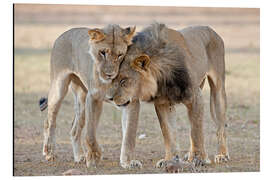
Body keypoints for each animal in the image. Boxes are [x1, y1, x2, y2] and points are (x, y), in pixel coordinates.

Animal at [40, 24, 137, 168]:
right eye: (103, 52)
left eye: (120, 55)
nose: (109, 74)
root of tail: (64, 33)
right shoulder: (93, 98)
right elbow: (90, 134)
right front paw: (93, 156)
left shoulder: (129, 101)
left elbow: (129, 134)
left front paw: (128, 162)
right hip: (59, 88)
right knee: (49, 121)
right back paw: (49, 152)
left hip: (81, 99)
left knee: (74, 130)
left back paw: (79, 157)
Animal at [107, 23, 230, 168]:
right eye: (112, 79)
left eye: (124, 80)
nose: (109, 98)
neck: (161, 79)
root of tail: (210, 29)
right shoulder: (163, 103)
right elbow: (168, 132)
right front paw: (169, 160)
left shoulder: (195, 96)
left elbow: (196, 131)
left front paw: (198, 159)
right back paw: (189, 154)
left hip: (218, 89)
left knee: (220, 127)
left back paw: (222, 155)